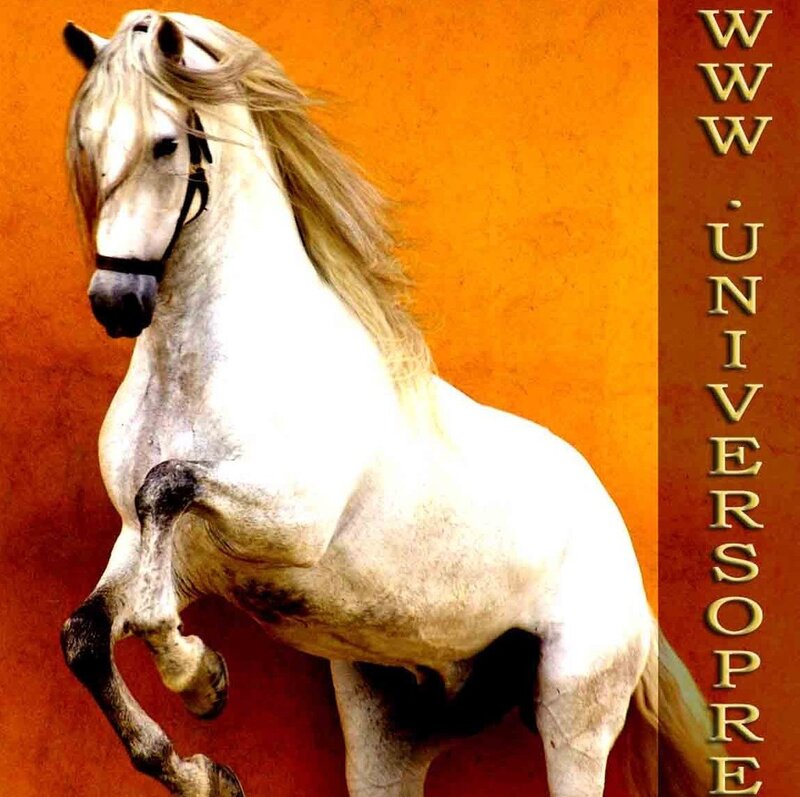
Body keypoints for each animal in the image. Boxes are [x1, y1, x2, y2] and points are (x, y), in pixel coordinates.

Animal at [60, 11, 712, 797]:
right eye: (87, 142)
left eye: (164, 142)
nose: (115, 301)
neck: (207, 368)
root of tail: (624, 553)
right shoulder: (167, 550)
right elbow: (87, 635)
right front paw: (201, 766)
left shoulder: (291, 521)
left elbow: (167, 486)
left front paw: (197, 677)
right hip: (387, 733)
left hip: (576, 714)